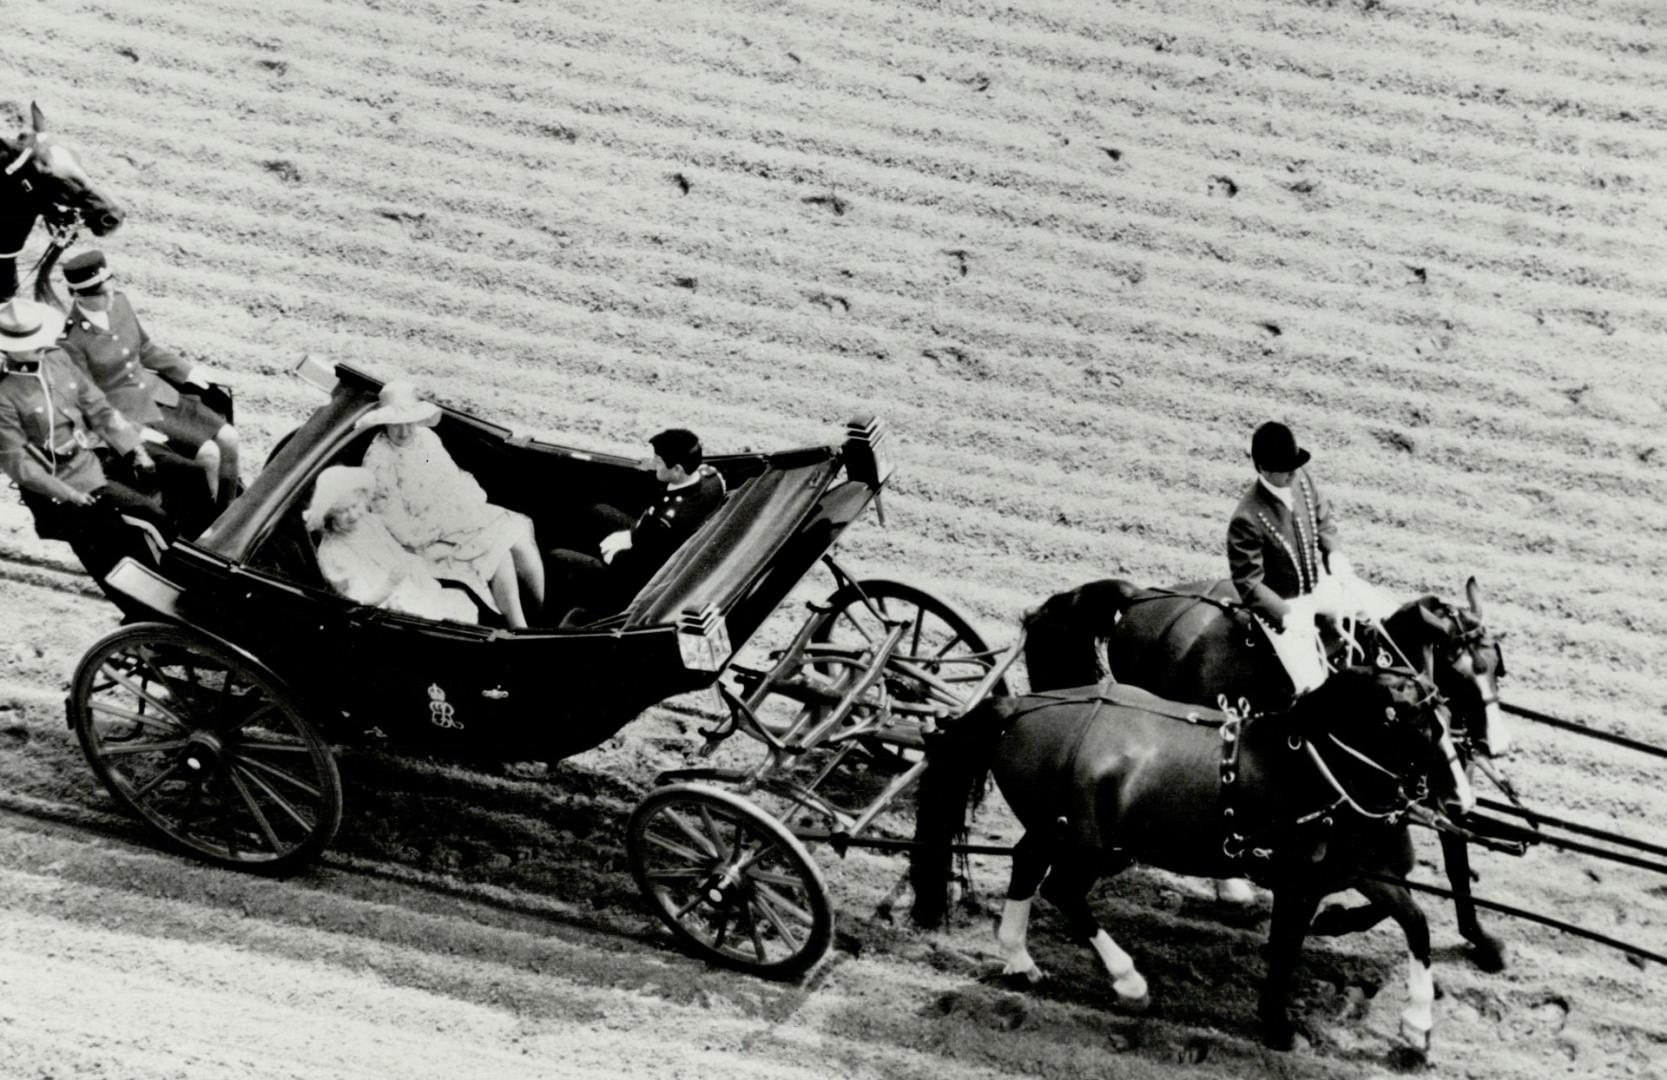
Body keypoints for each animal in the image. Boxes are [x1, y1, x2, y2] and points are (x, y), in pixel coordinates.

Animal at [913, 670, 1473, 1053]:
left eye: (1448, 722)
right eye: (1422, 726)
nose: (1462, 801)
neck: (1309, 769)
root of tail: (1019, 707)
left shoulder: (1354, 871)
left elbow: (1416, 922)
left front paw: (1417, 1024)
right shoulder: (1297, 885)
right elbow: (1284, 951)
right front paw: (1277, 1027)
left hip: (1056, 831)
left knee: (1026, 865)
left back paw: (1020, 961)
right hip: (1092, 846)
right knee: (1062, 890)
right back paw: (1130, 984)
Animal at [1013, 573, 1513, 973]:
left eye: (1497, 669)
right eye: (1457, 671)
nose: (1496, 744)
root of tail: (1141, 597)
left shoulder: (1435, 799)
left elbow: (1451, 868)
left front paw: (1481, 940)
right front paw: (1333, 919)